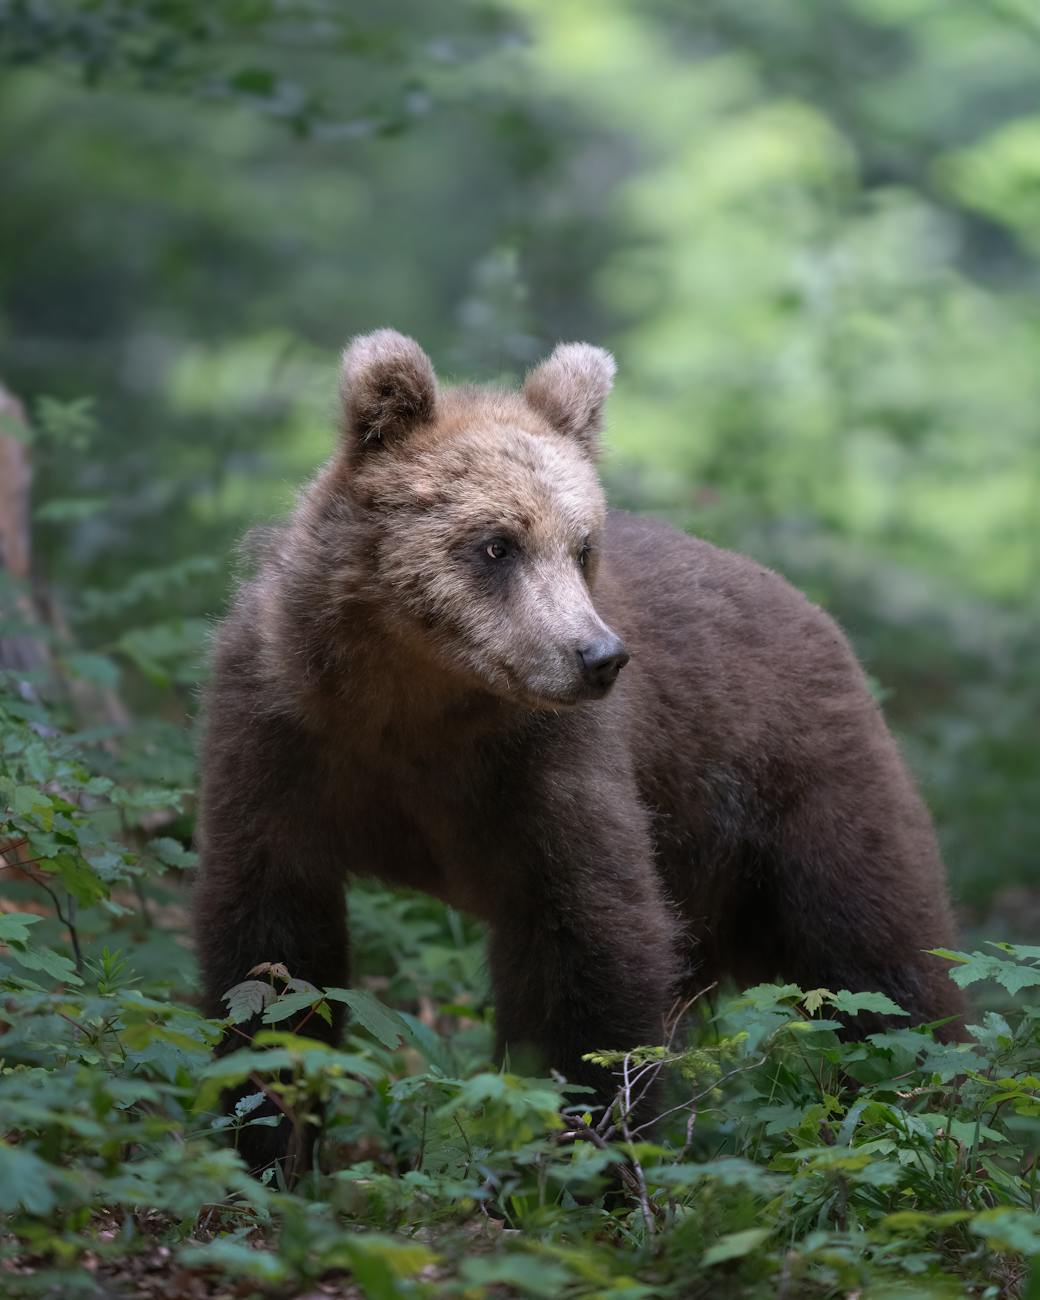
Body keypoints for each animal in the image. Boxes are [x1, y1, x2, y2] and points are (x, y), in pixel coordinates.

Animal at [193, 329, 966, 1179]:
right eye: (496, 544)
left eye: (583, 545)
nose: (597, 656)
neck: (414, 701)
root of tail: (818, 616)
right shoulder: (282, 735)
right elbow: (274, 958)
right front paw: (267, 1143)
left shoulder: (546, 766)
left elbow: (591, 948)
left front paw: (596, 1150)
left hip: (789, 790)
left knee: (875, 956)